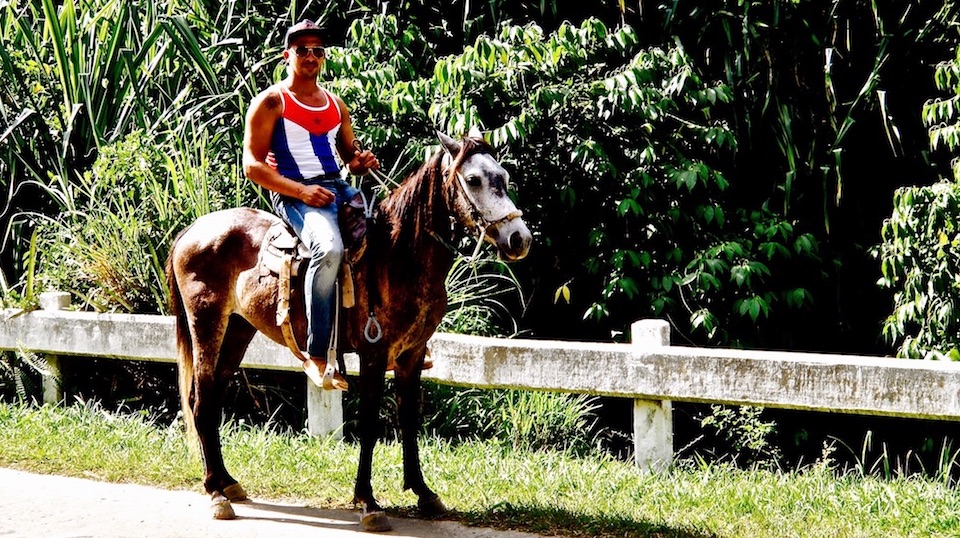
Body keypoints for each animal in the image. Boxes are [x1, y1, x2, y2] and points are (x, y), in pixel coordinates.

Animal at [169, 132, 536, 528]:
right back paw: (216, 493)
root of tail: (192, 230)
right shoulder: (374, 353)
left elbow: (408, 419)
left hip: (238, 329)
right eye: (473, 180)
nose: (519, 238)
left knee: (213, 396)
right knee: (201, 400)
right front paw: (369, 502)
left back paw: (228, 482)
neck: (396, 256)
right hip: (206, 323)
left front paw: (423, 493)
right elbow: (371, 423)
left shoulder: (412, 354)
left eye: (503, 176)